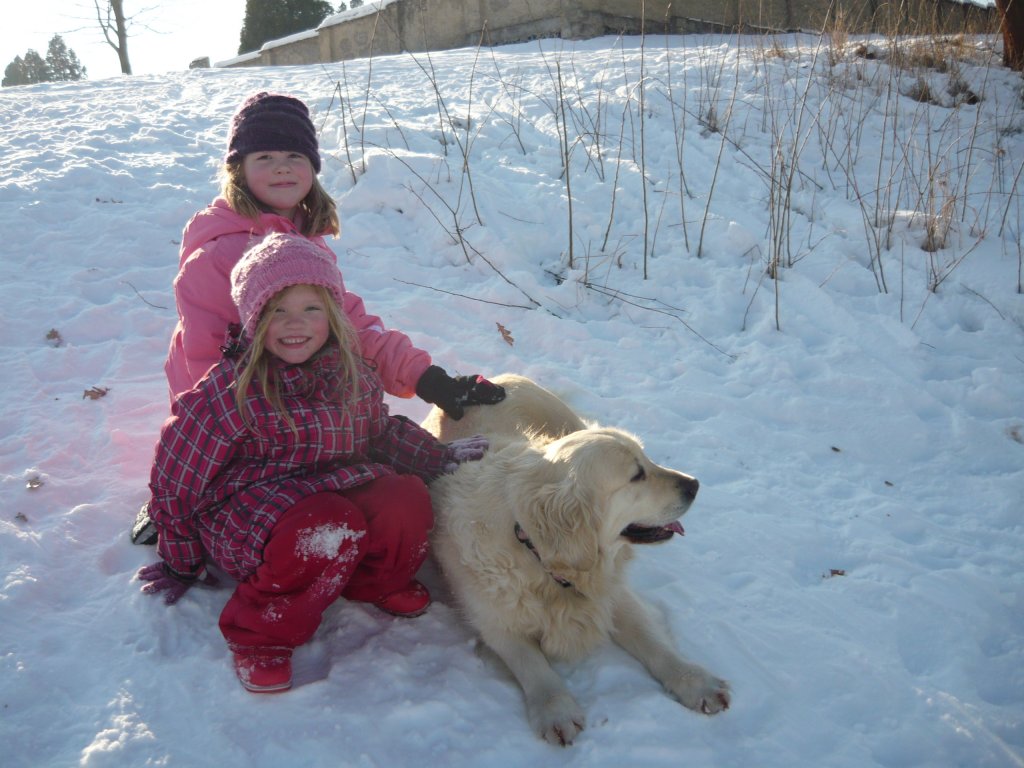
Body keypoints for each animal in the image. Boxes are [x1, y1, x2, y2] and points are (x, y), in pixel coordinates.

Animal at [425, 374, 730, 746]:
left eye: (647, 458)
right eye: (636, 475)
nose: (695, 484)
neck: (537, 552)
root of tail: (499, 378)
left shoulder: (613, 593)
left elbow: (653, 640)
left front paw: (694, 680)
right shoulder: (495, 621)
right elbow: (532, 663)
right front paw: (555, 709)